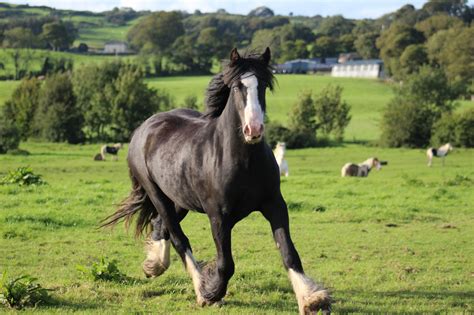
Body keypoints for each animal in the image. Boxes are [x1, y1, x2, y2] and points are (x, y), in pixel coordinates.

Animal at [101, 48, 330, 314]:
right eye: (236, 87)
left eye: (263, 85)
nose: (254, 130)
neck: (243, 160)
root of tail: (144, 128)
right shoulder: (218, 217)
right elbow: (225, 264)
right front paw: (211, 293)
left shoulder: (274, 205)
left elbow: (289, 252)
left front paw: (311, 300)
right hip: (157, 195)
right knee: (178, 238)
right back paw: (199, 288)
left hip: (179, 199)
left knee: (161, 226)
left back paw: (154, 265)